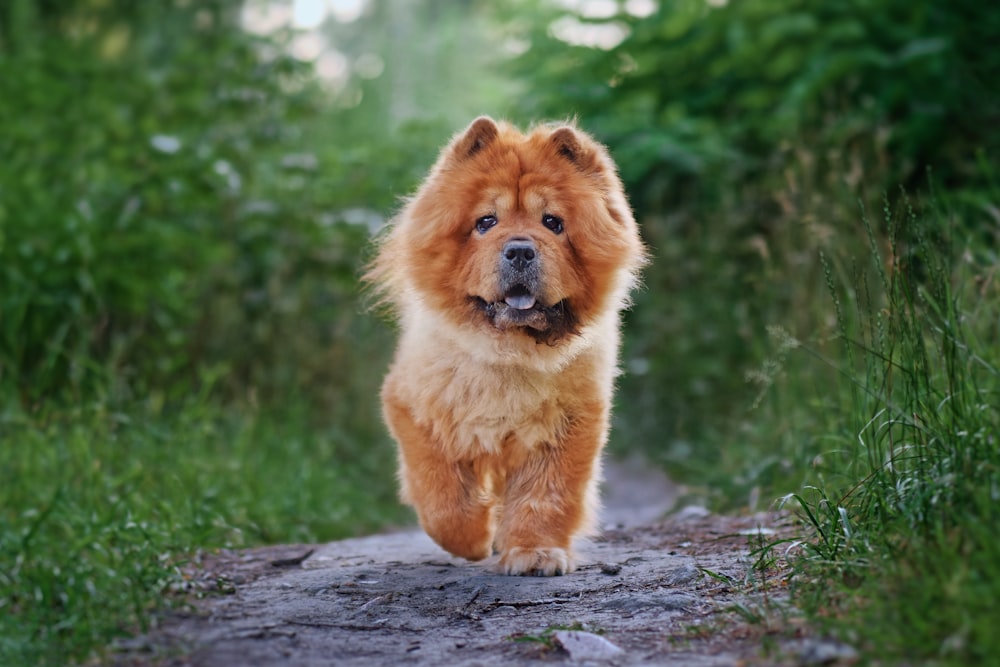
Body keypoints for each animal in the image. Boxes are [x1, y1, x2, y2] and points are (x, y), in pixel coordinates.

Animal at [368, 116, 648, 576]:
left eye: (553, 222)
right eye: (486, 222)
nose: (519, 250)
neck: (510, 353)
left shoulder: (568, 425)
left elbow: (546, 495)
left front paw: (534, 554)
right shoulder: (415, 408)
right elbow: (443, 498)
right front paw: (474, 539)